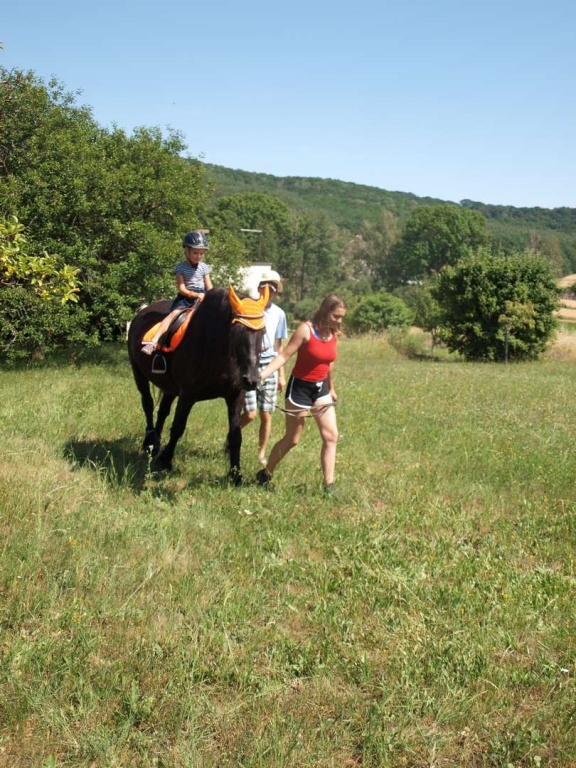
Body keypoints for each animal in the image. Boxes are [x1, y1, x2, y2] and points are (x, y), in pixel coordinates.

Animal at [127, 285, 269, 486]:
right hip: (138, 373)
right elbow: (178, 427)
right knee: (147, 404)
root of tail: (142, 312)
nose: (252, 380)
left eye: (262, 332)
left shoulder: (235, 396)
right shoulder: (188, 395)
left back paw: (155, 444)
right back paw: (149, 443)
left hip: (169, 387)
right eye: (236, 330)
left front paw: (235, 475)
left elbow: (235, 436)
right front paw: (165, 461)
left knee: (162, 411)